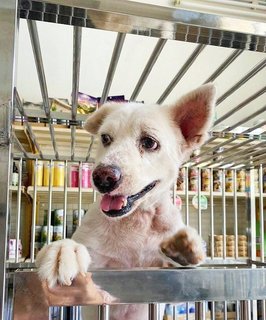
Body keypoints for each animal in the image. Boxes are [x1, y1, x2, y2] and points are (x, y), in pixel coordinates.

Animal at [36, 84, 216, 318]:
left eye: (149, 142)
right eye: (105, 138)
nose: (102, 177)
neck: (135, 221)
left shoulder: (169, 286)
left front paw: (187, 249)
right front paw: (63, 250)